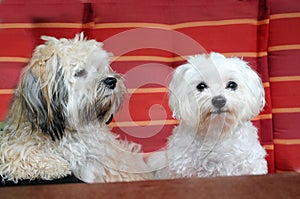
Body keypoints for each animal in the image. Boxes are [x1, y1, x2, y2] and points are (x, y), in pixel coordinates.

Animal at [0, 33, 150, 183]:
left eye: (98, 68)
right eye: (79, 72)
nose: (111, 81)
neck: (70, 132)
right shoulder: (16, 147)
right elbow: (27, 156)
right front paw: (56, 166)